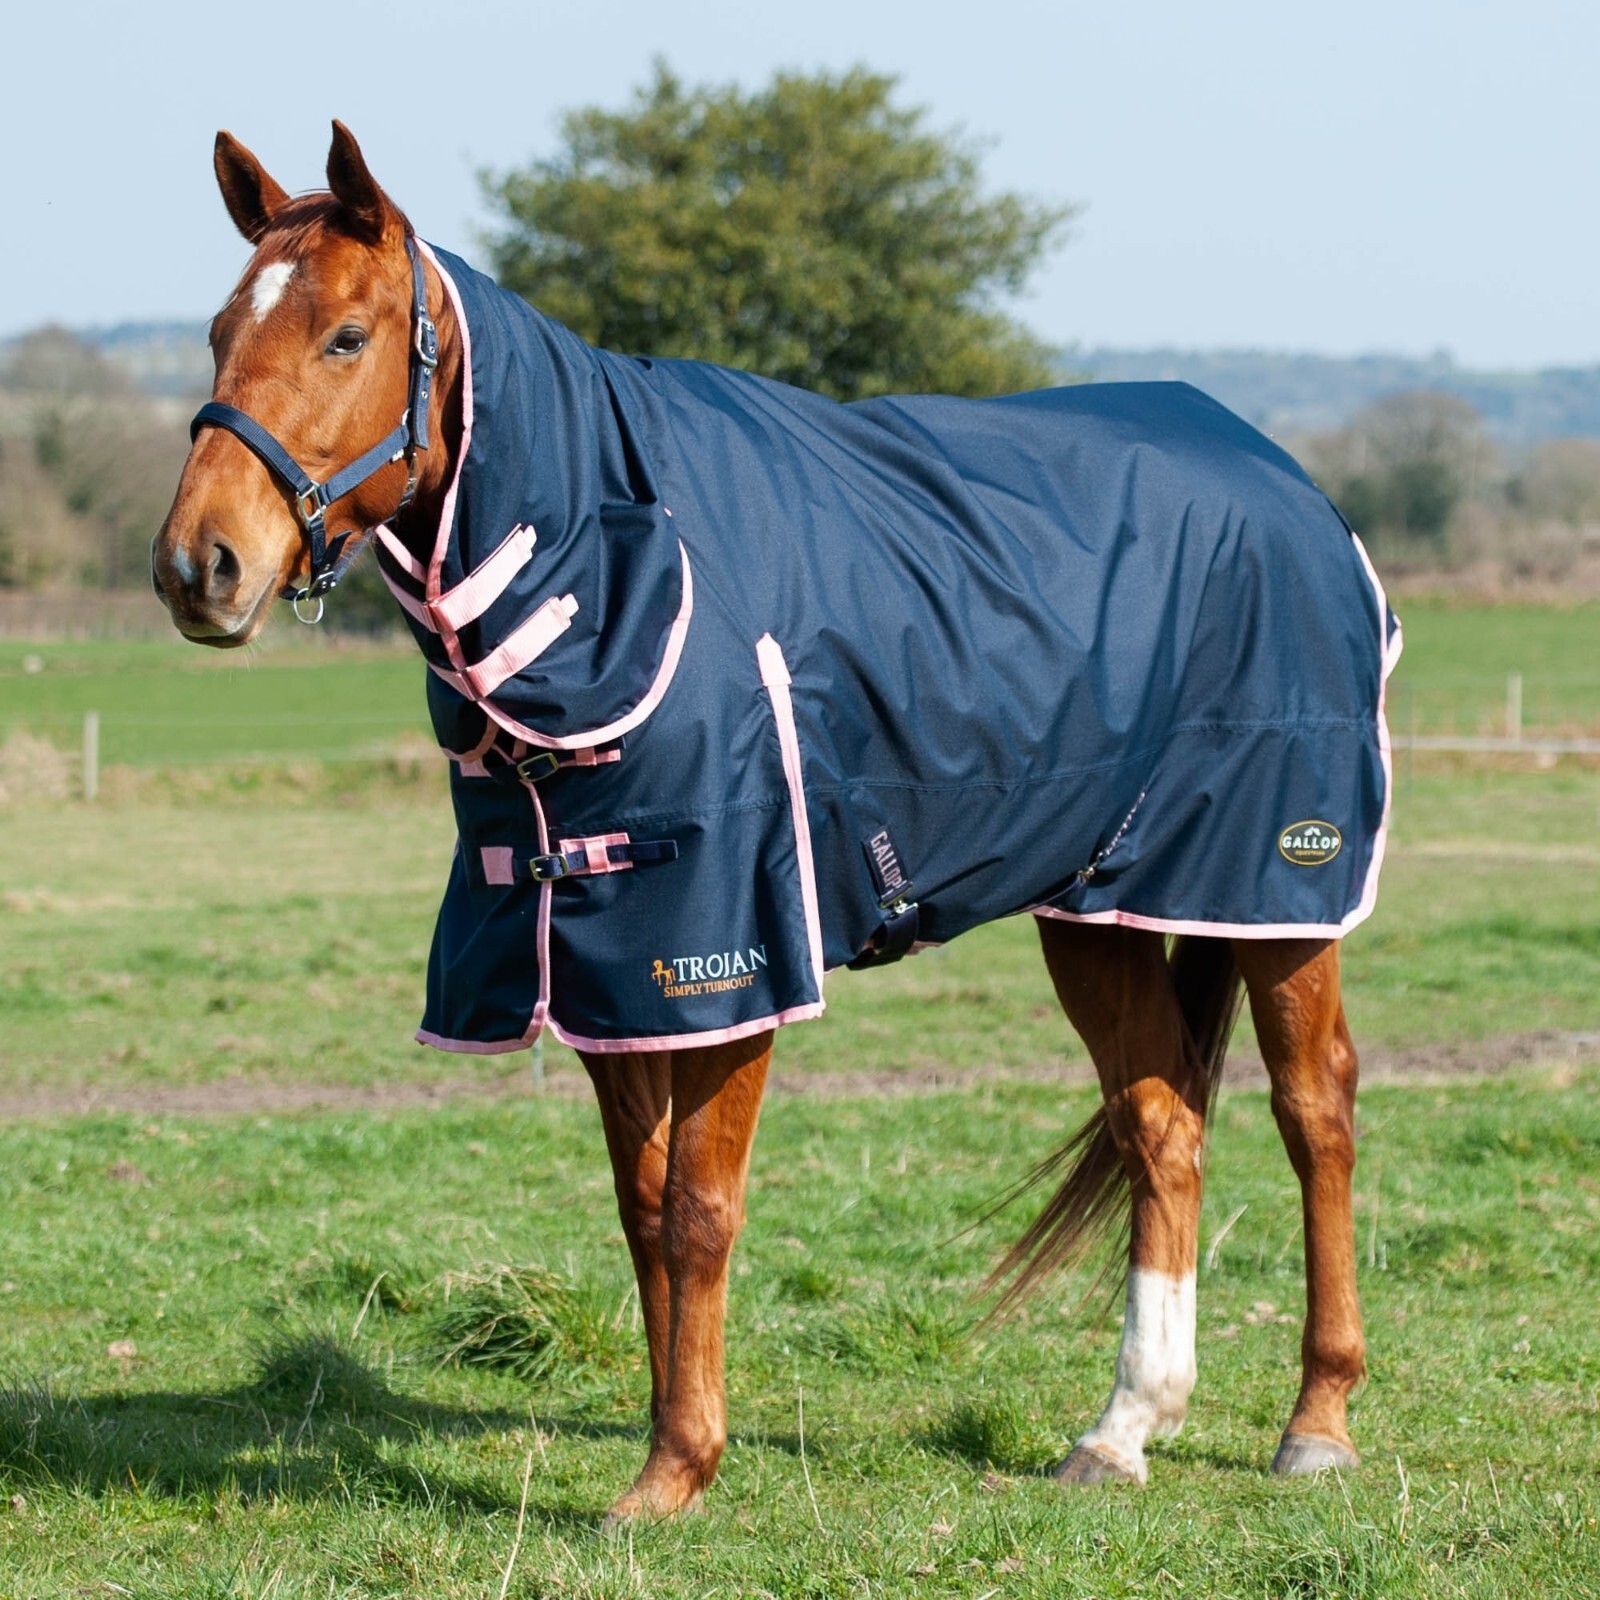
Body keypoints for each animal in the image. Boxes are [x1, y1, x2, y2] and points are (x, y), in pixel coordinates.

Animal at [152, 122, 1397, 1525]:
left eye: (347, 337)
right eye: (217, 332)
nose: (198, 565)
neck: (618, 573)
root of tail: (1288, 480)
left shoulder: (729, 953)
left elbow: (699, 1207)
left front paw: (674, 1470)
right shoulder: (604, 960)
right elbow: (640, 1209)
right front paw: (670, 1438)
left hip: (1276, 887)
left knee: (1315, 1109)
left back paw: (1317, 1417)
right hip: (1100, 904)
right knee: (1160, 1129)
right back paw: (1126, 1424)